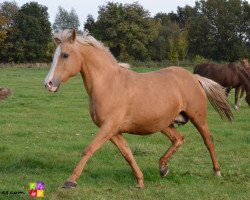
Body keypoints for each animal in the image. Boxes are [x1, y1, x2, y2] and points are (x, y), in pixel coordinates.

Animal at [44, 29, 233, 189]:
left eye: (65, 55)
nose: (48, 84)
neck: (109, 84)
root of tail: (194, 77)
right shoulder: (114, 131)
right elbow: (127, 154)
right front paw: (140, 182)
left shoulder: (108, 127)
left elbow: (89, 149)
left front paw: (70, 181)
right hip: (164, 123)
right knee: (178, 139)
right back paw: (163, 168)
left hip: (198, 118)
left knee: (208, 140)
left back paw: (217, 172)